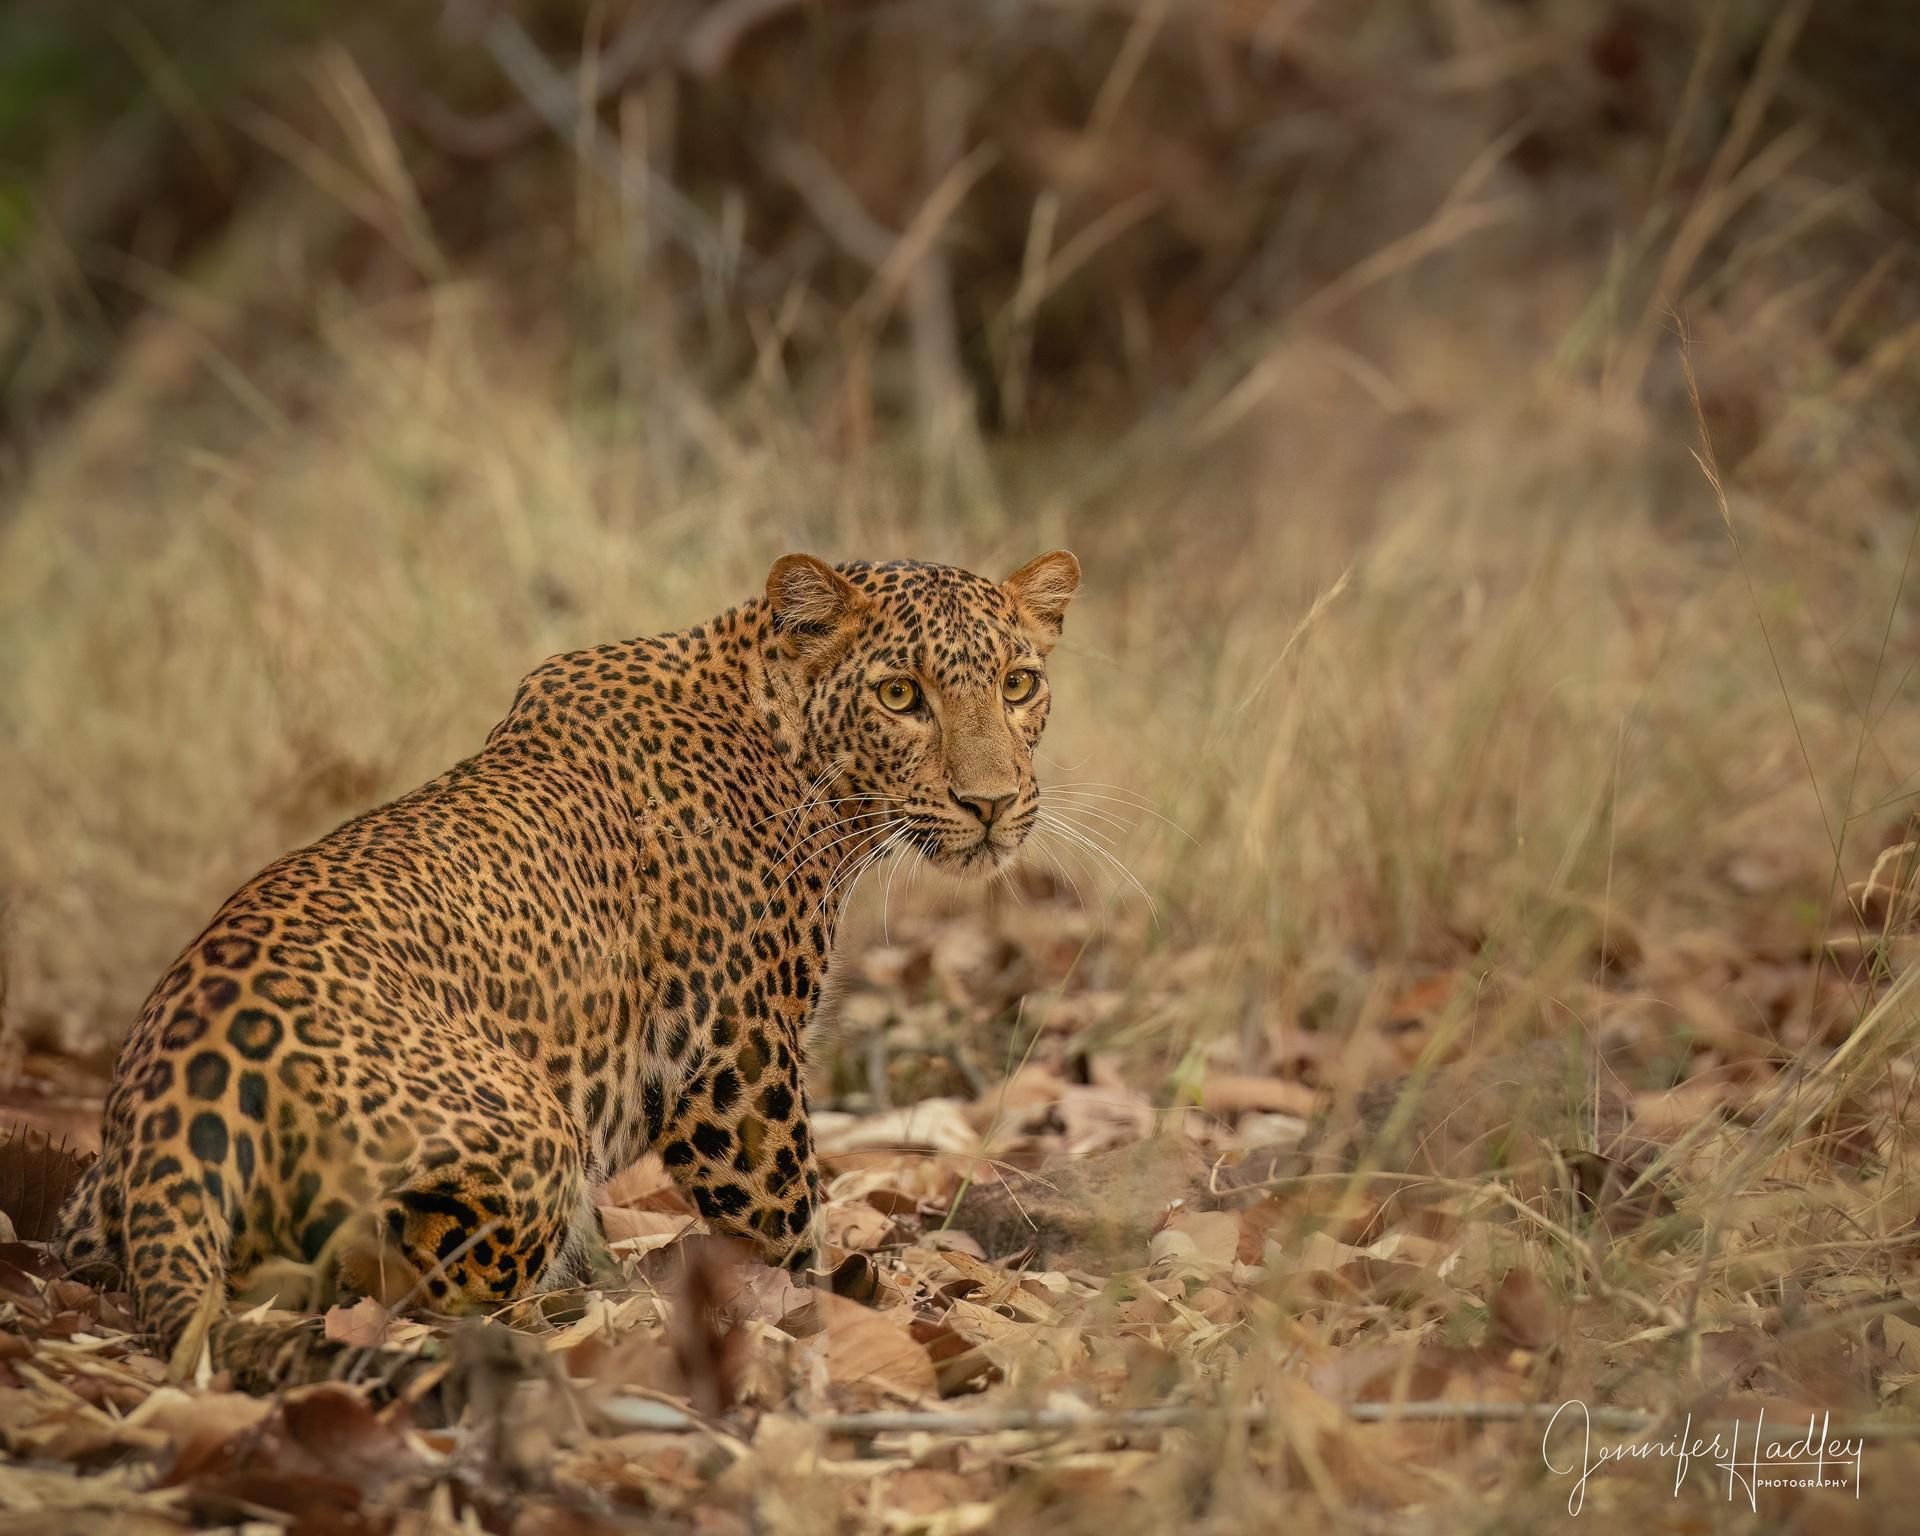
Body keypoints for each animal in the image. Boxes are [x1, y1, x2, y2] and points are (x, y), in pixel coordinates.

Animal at [56, 550, 1081, 1371]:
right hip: (527, 1129)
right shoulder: (737, 1063)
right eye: (900, 695)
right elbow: (785, 1213)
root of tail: (177, 1084)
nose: (991, 803)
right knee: (413, 1276)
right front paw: (822, 1299)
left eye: (1019, 684)